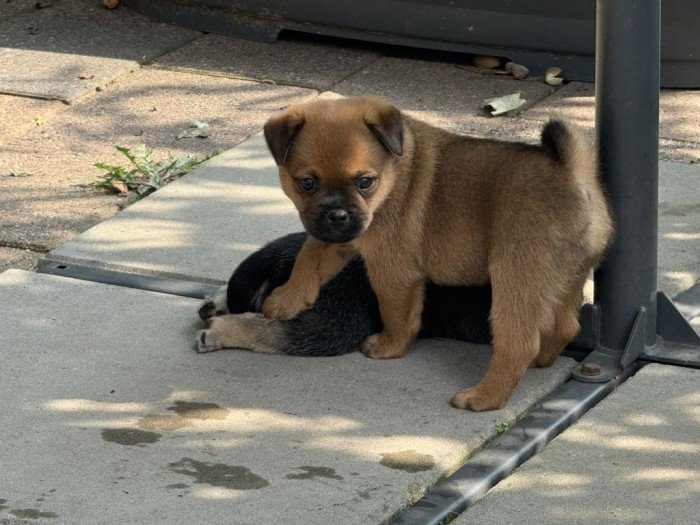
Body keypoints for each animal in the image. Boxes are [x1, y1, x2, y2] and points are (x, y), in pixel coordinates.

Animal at [258, 96, 612, 412]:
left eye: (365, 182)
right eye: (306, 183)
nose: (338, 214)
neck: (395, 171)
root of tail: (575, 177)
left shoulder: (391, 272)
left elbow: (395, 314)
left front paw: (389, 346)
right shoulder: (337, 236)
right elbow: (309, 255)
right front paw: (288, 298)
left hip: (515, 281)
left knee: (519, 344)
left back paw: (484, 397)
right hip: (565, 279)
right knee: (565, 326)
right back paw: (538, 363)